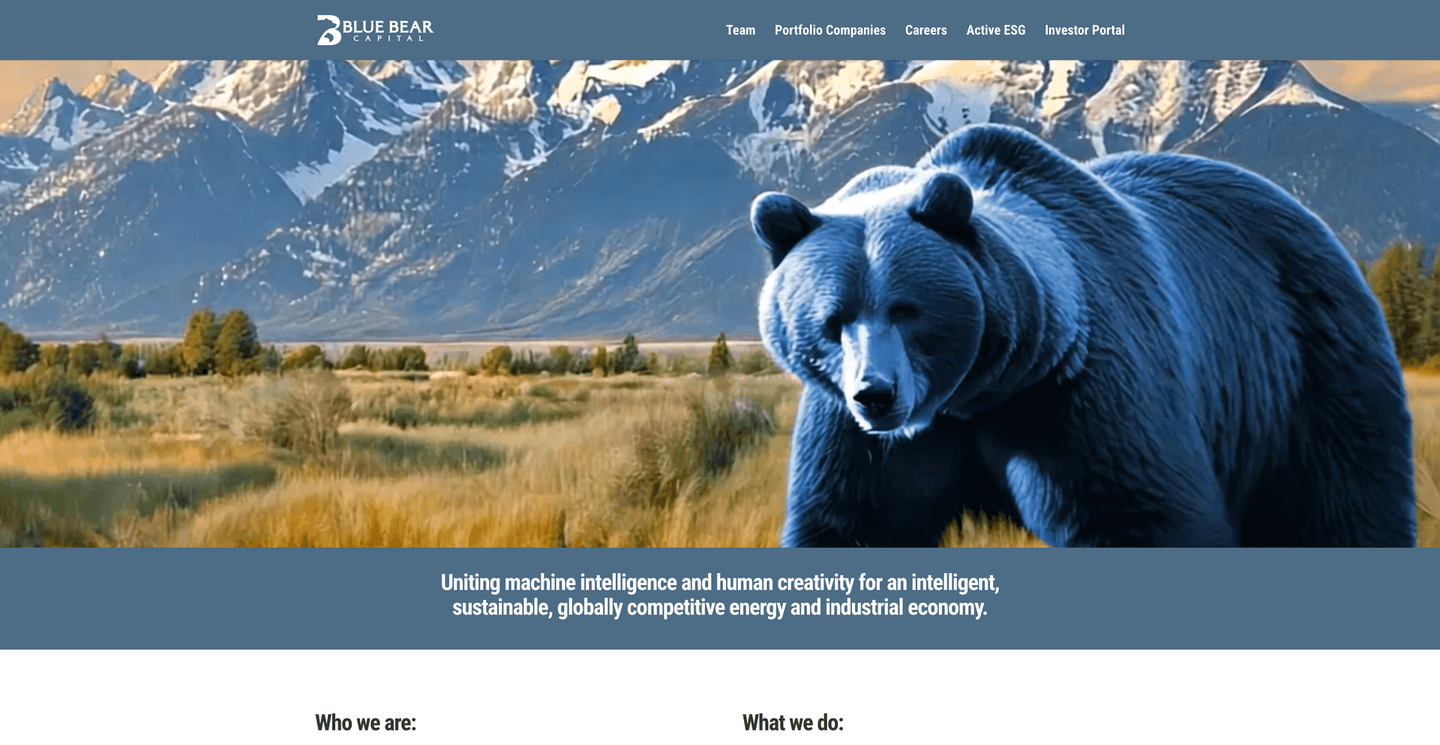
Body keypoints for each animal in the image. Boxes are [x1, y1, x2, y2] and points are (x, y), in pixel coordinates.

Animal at [750, 123, 1416, 548]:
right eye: (831, 320)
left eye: (908, 309)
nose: (876, 394)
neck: (980, 390)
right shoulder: (871, 443)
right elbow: (852, 522)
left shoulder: (1083, 390)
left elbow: (1142, 513)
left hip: (1305, 377)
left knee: (1342, 508)